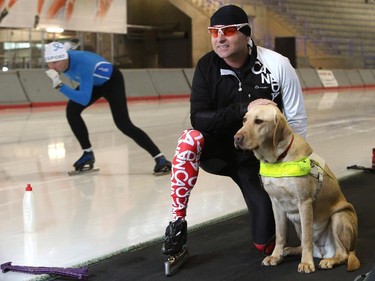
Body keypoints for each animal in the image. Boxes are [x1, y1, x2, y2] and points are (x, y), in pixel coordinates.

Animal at [235, 101, 362, 272]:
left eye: (259, 121)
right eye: (244, 120)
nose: (236, 138)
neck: (278, 160)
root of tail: (323, 251)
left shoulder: (304, 202)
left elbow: (307, 238)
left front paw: (307, 263)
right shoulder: (276, 203)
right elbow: (280, 234)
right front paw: (276, 255)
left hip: (339, 216)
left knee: (343, 253)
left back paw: (329, 260)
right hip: (297, 223)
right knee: (303, 244)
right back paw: (290, 250)